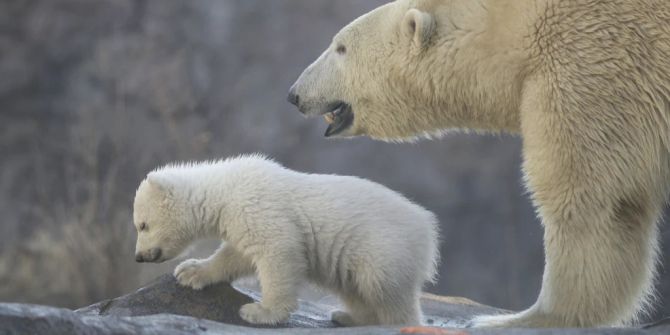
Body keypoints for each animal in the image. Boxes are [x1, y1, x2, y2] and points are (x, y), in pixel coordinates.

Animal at [288, 0, 670, 328]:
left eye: (341, 48)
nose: (293, 94)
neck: (515, 31)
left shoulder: (592, 65)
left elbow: (592, 198)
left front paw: (517, 319)